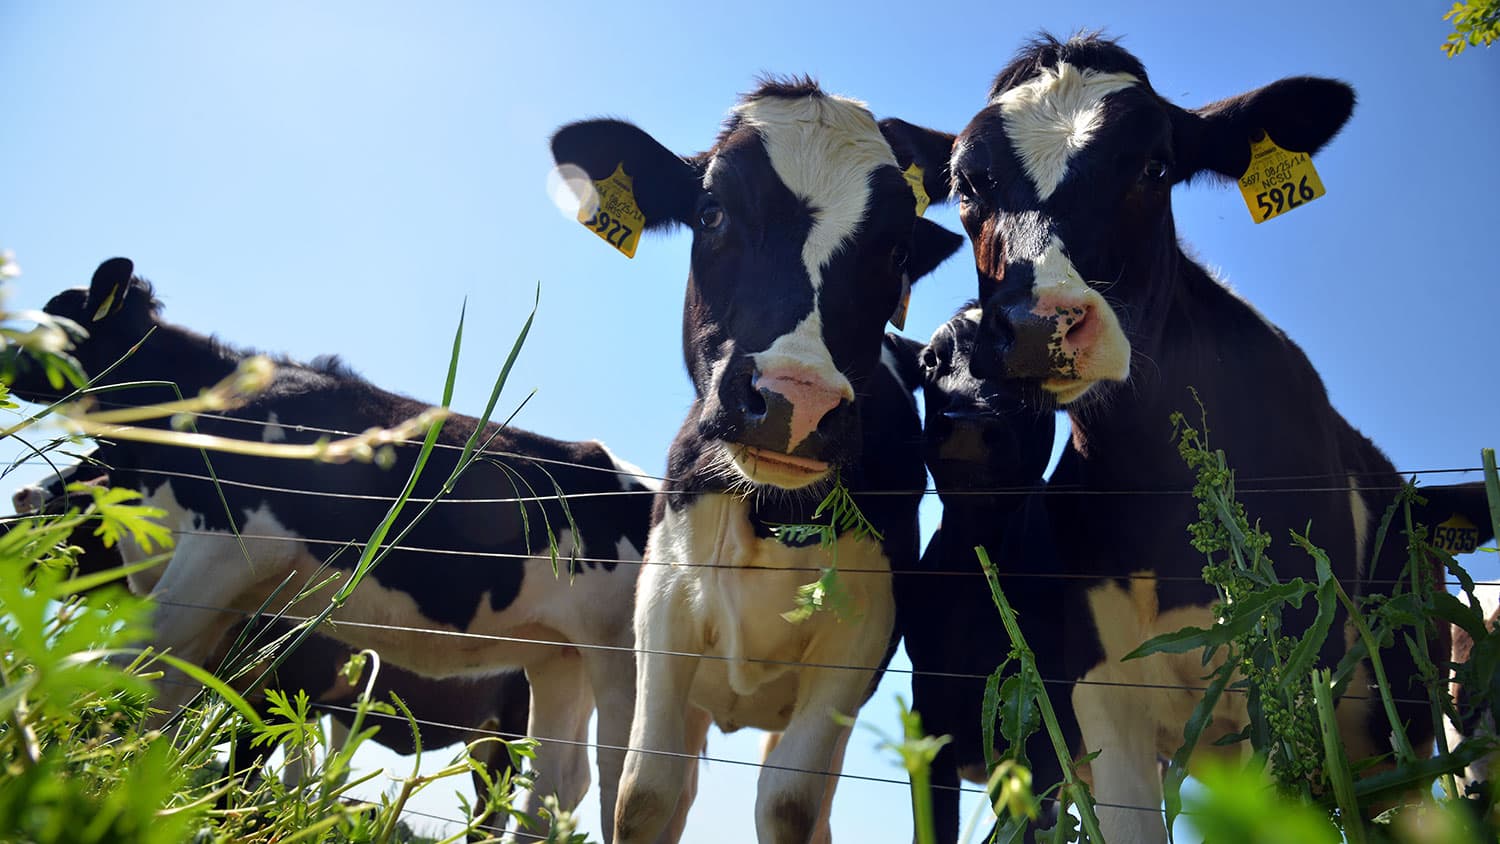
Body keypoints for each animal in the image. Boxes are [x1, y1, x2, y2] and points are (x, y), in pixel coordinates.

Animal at [4, 257, 658, 841]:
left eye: (56, 318)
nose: (22, 503)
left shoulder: (225, 547)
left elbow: (126, 670)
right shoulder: (225, 602)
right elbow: (163, 694)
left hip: (623, 656)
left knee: (622, 782)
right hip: (558, 656)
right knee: (554, 787)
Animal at [550, 78, 964, 843]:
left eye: (896, 251)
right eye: (710, 212)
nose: (794, 400)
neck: (771, 509)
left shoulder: (861, 633)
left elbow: (789, 803)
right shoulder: (664, 607)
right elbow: (643, 794)